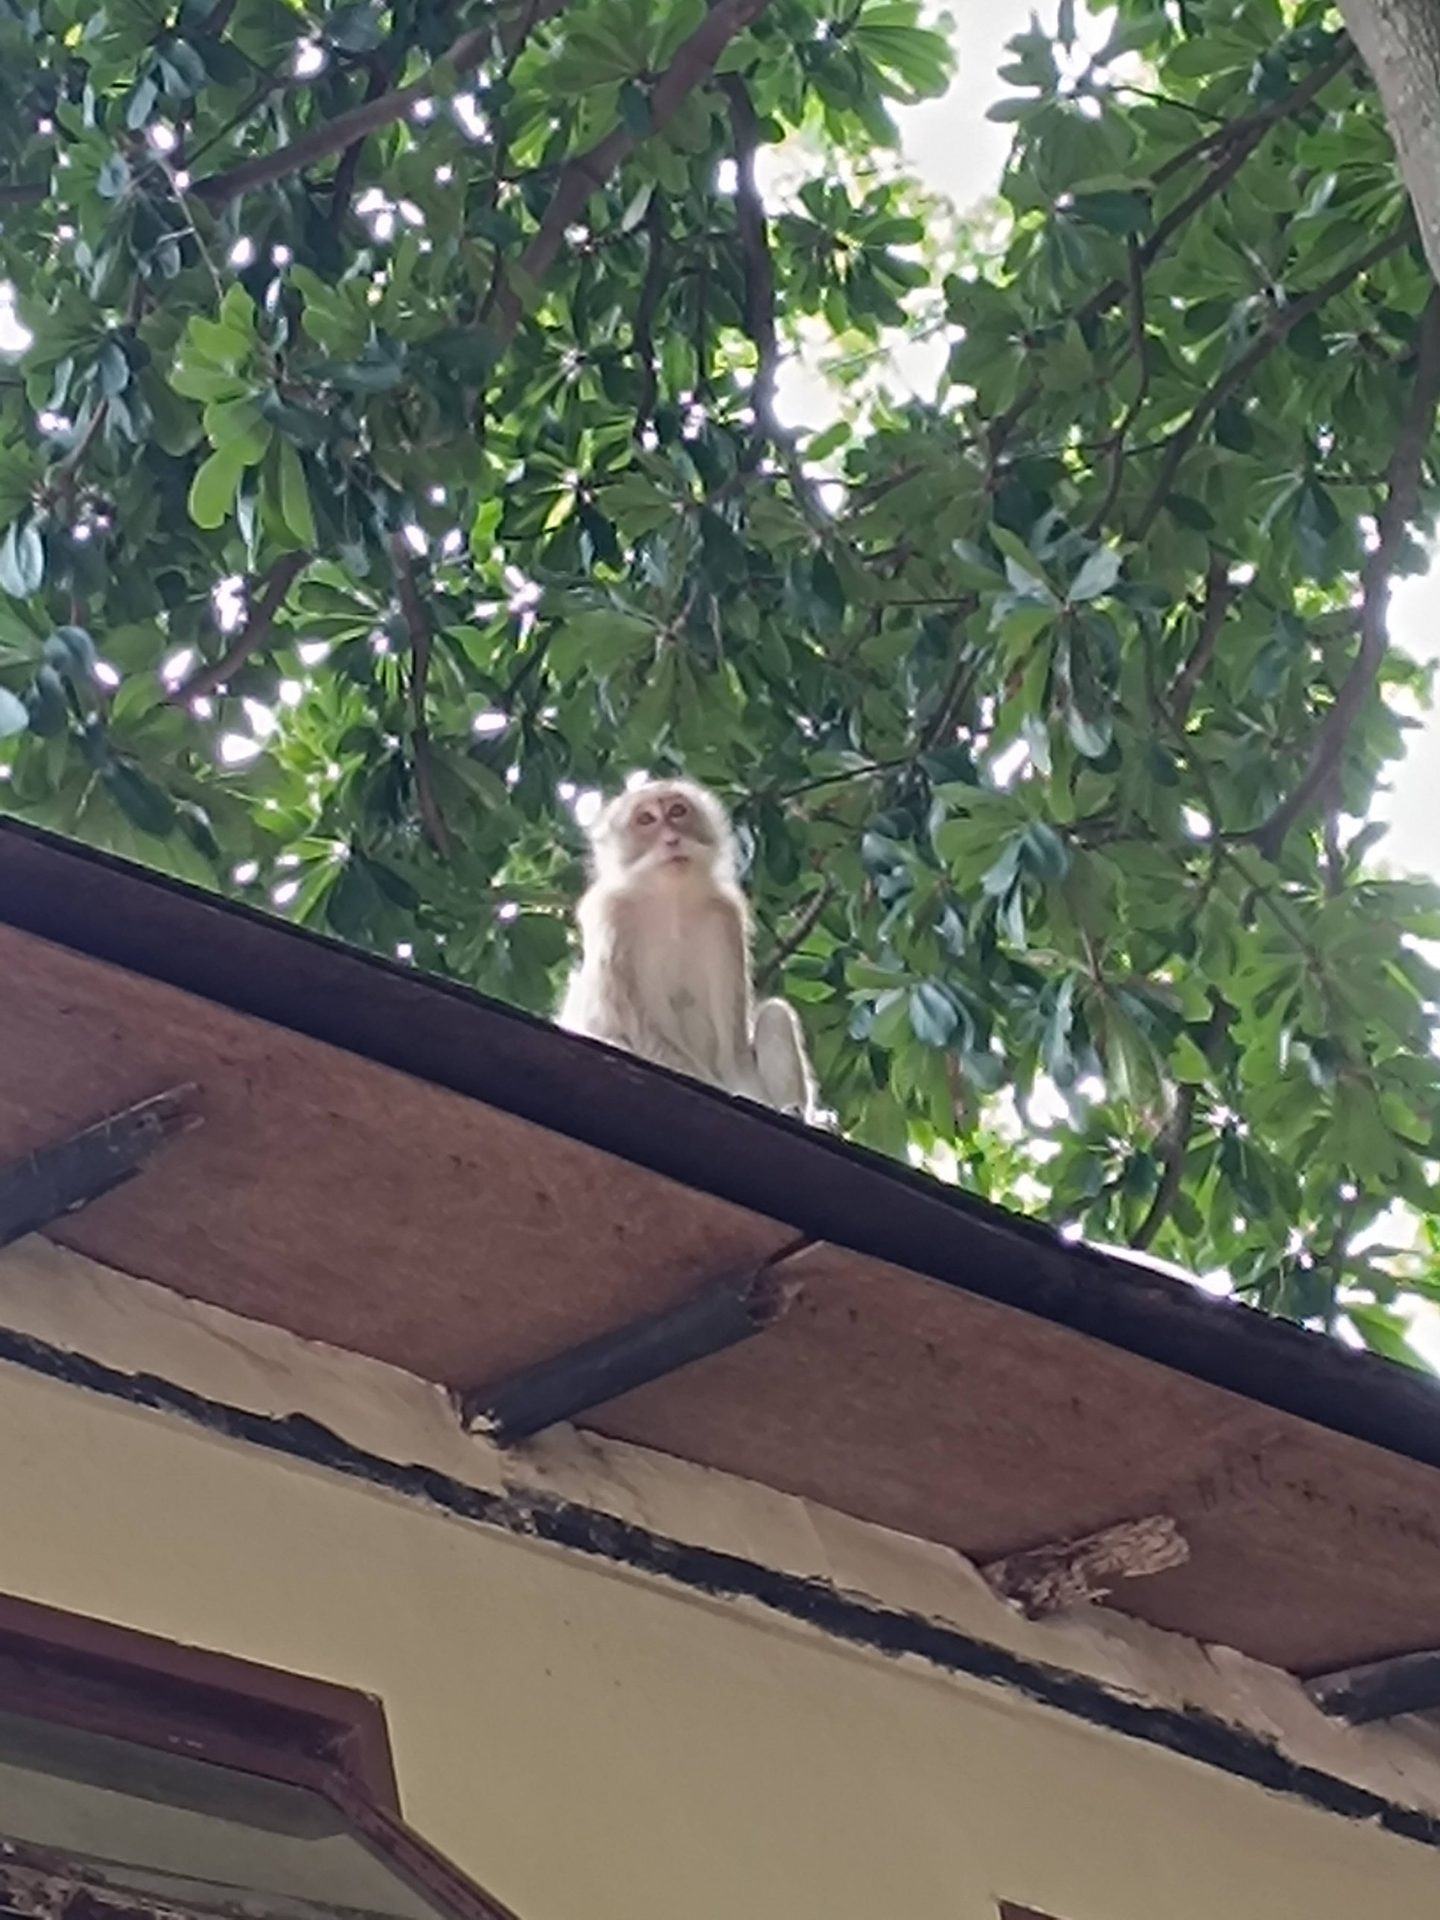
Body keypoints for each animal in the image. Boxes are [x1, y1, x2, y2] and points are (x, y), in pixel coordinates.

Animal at [558, 777, 820, 1120]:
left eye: (678, 811)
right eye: (646, 819)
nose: (672, 839)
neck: (672, 897)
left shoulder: (724, 916)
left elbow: (734, 1055)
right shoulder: (611, 914)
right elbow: (642, 1032)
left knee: (774, 1015)